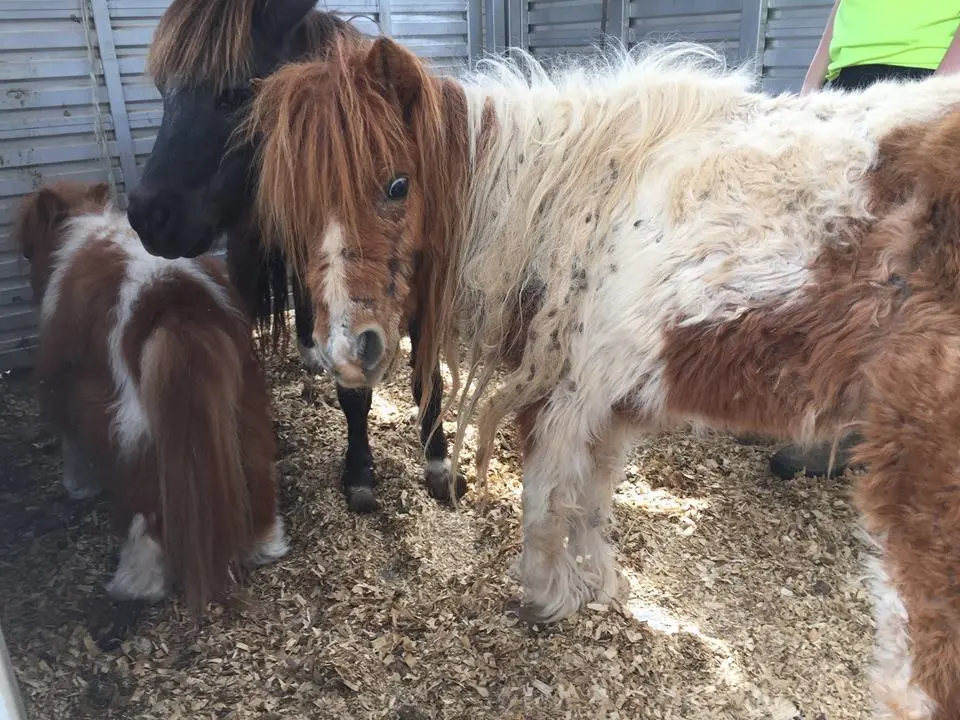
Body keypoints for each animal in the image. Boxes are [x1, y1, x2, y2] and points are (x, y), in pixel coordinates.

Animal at [14, 180, 288, 612]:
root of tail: (170, 297)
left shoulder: (67, 396)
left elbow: (73, 448)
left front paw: (77, 487)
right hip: (242, 406)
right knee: (256, 472)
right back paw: (264, 546)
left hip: (132, 430)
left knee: (144, 511)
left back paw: (135, 585)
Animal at [246, 35, 960, 720]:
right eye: (293, 207)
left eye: (397, 185)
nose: (349, 351)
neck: (569, 204)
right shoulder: (614, 403)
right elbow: (590, 499)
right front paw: (594, 587)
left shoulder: (567, 395)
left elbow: (544, 501)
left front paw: (545, 596)